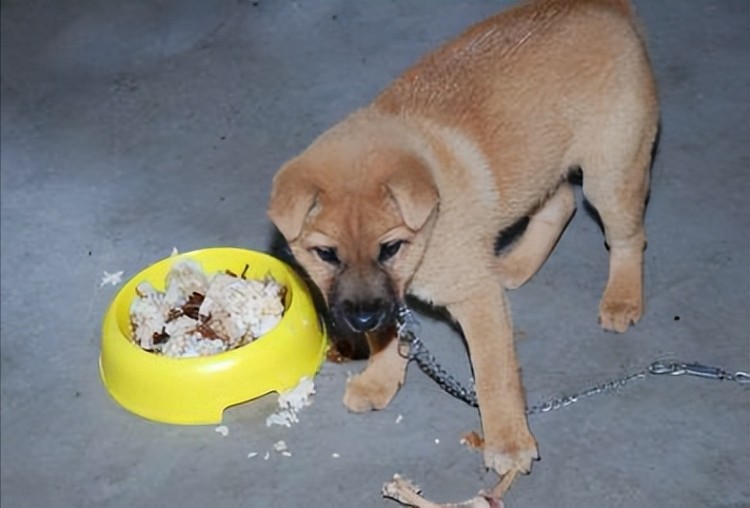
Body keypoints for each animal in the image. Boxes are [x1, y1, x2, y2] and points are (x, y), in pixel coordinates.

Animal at [268, 0, 660, 492]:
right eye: (326, 254)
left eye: (390, 247)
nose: (359, 319)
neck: (433, 216)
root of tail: (608, 8)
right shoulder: (388, 300)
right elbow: (386, 337)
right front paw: (378, 380)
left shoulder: (476, 300)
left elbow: (495, 376)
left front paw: (508, 443)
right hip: (543, 163)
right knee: (561, 203)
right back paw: (516, 264)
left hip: (610, 174)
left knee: (627, 237)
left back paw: (622, 297)